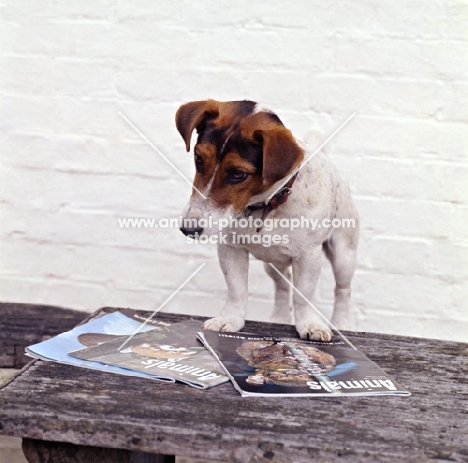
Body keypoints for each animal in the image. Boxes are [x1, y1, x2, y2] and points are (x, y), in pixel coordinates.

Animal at [176, 99, 358, 342]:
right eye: (198, 159)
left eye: (238, 174)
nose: (188, 229)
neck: (265, 207)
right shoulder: (231, 249)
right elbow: (237, 289)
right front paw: (230, 319)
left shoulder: (308, 256)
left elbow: (303, 295)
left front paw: (310, 324)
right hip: (272, 264)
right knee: (282, 284)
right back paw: (279, 317)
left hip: (344, 255)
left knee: (343, 290)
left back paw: (342, 323)